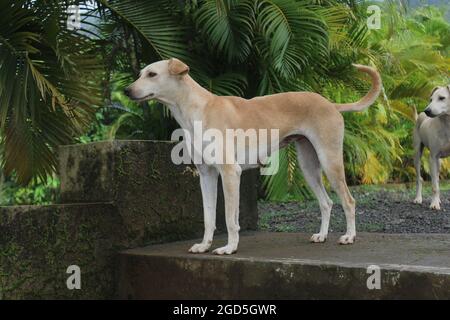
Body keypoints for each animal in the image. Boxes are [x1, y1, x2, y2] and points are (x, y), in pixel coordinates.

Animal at [125, 58, 382, 255]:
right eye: (140, 74)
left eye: (152, 74)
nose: (127, 91)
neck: (198, 110)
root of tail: (331, 104)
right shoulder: (207, 175)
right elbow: (209, 218)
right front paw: (205, 245)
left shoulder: (230, 174)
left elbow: (230, 219)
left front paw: (229, 248)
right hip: (309, 167)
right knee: (326, 202)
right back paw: (322, 235)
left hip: (330, 163)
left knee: (348, 201)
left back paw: (349, 236)